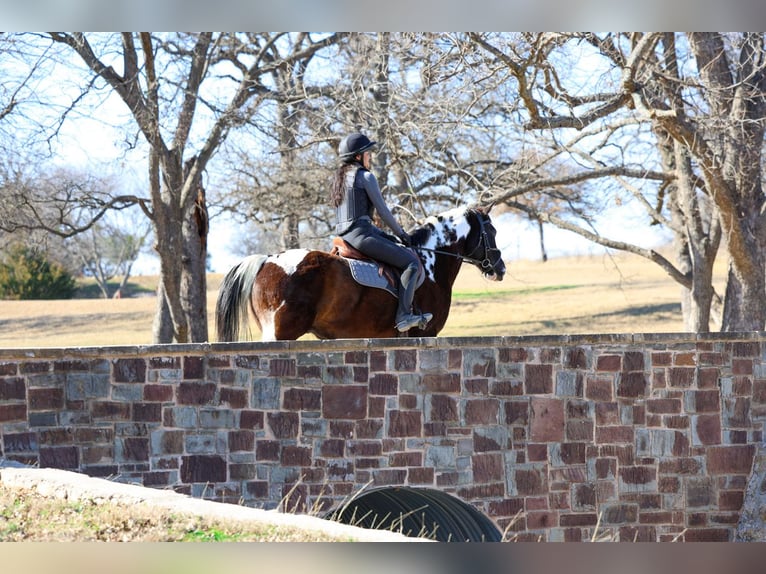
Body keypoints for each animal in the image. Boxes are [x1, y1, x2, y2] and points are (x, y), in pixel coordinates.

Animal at [215, 204, 506, 341]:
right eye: (491, 230)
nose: (500, 268)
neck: (429, 260)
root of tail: (267, 260)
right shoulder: (423, 335)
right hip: (279, 333)